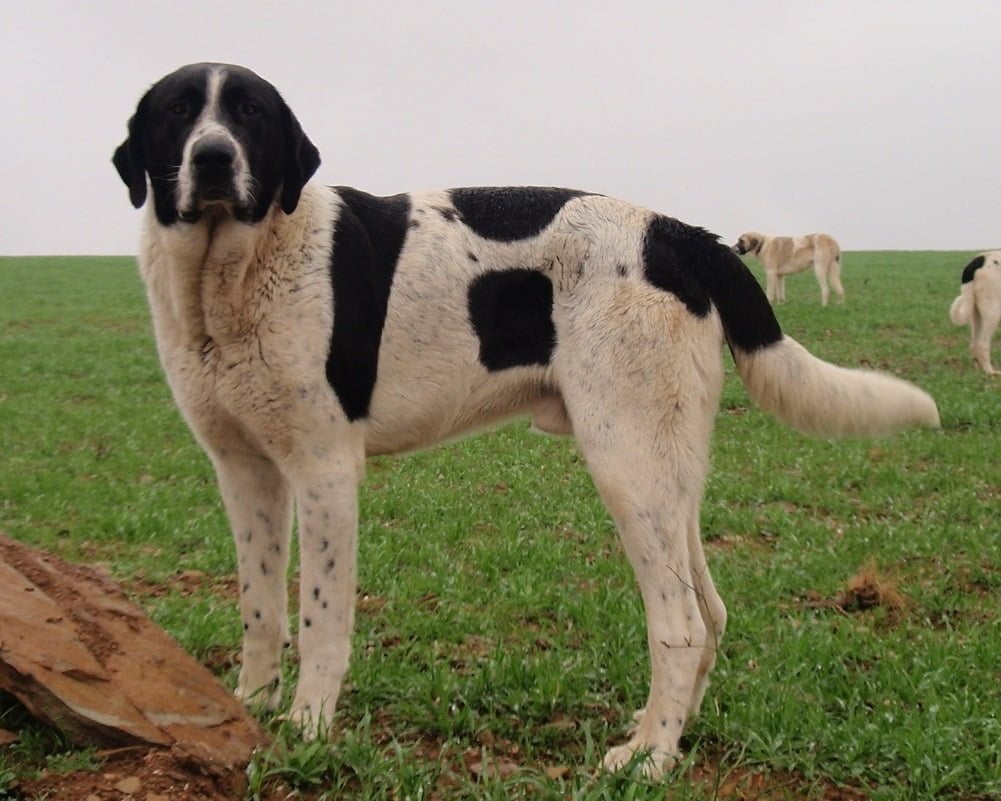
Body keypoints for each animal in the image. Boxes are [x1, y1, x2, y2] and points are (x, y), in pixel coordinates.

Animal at [115, 65, 936, 780]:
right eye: (178, 112)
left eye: (249, 114)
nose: (213, 158)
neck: (234, 269)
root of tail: (682, 234)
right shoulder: (245, 471)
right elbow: (258, 608)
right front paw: (250, 707)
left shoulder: (324, 473)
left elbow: (320, 619)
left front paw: (308, 727)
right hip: (667, 478)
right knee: (712, 610)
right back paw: (665, 735)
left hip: (626, 465)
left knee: (681, 623)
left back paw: (650, 759)